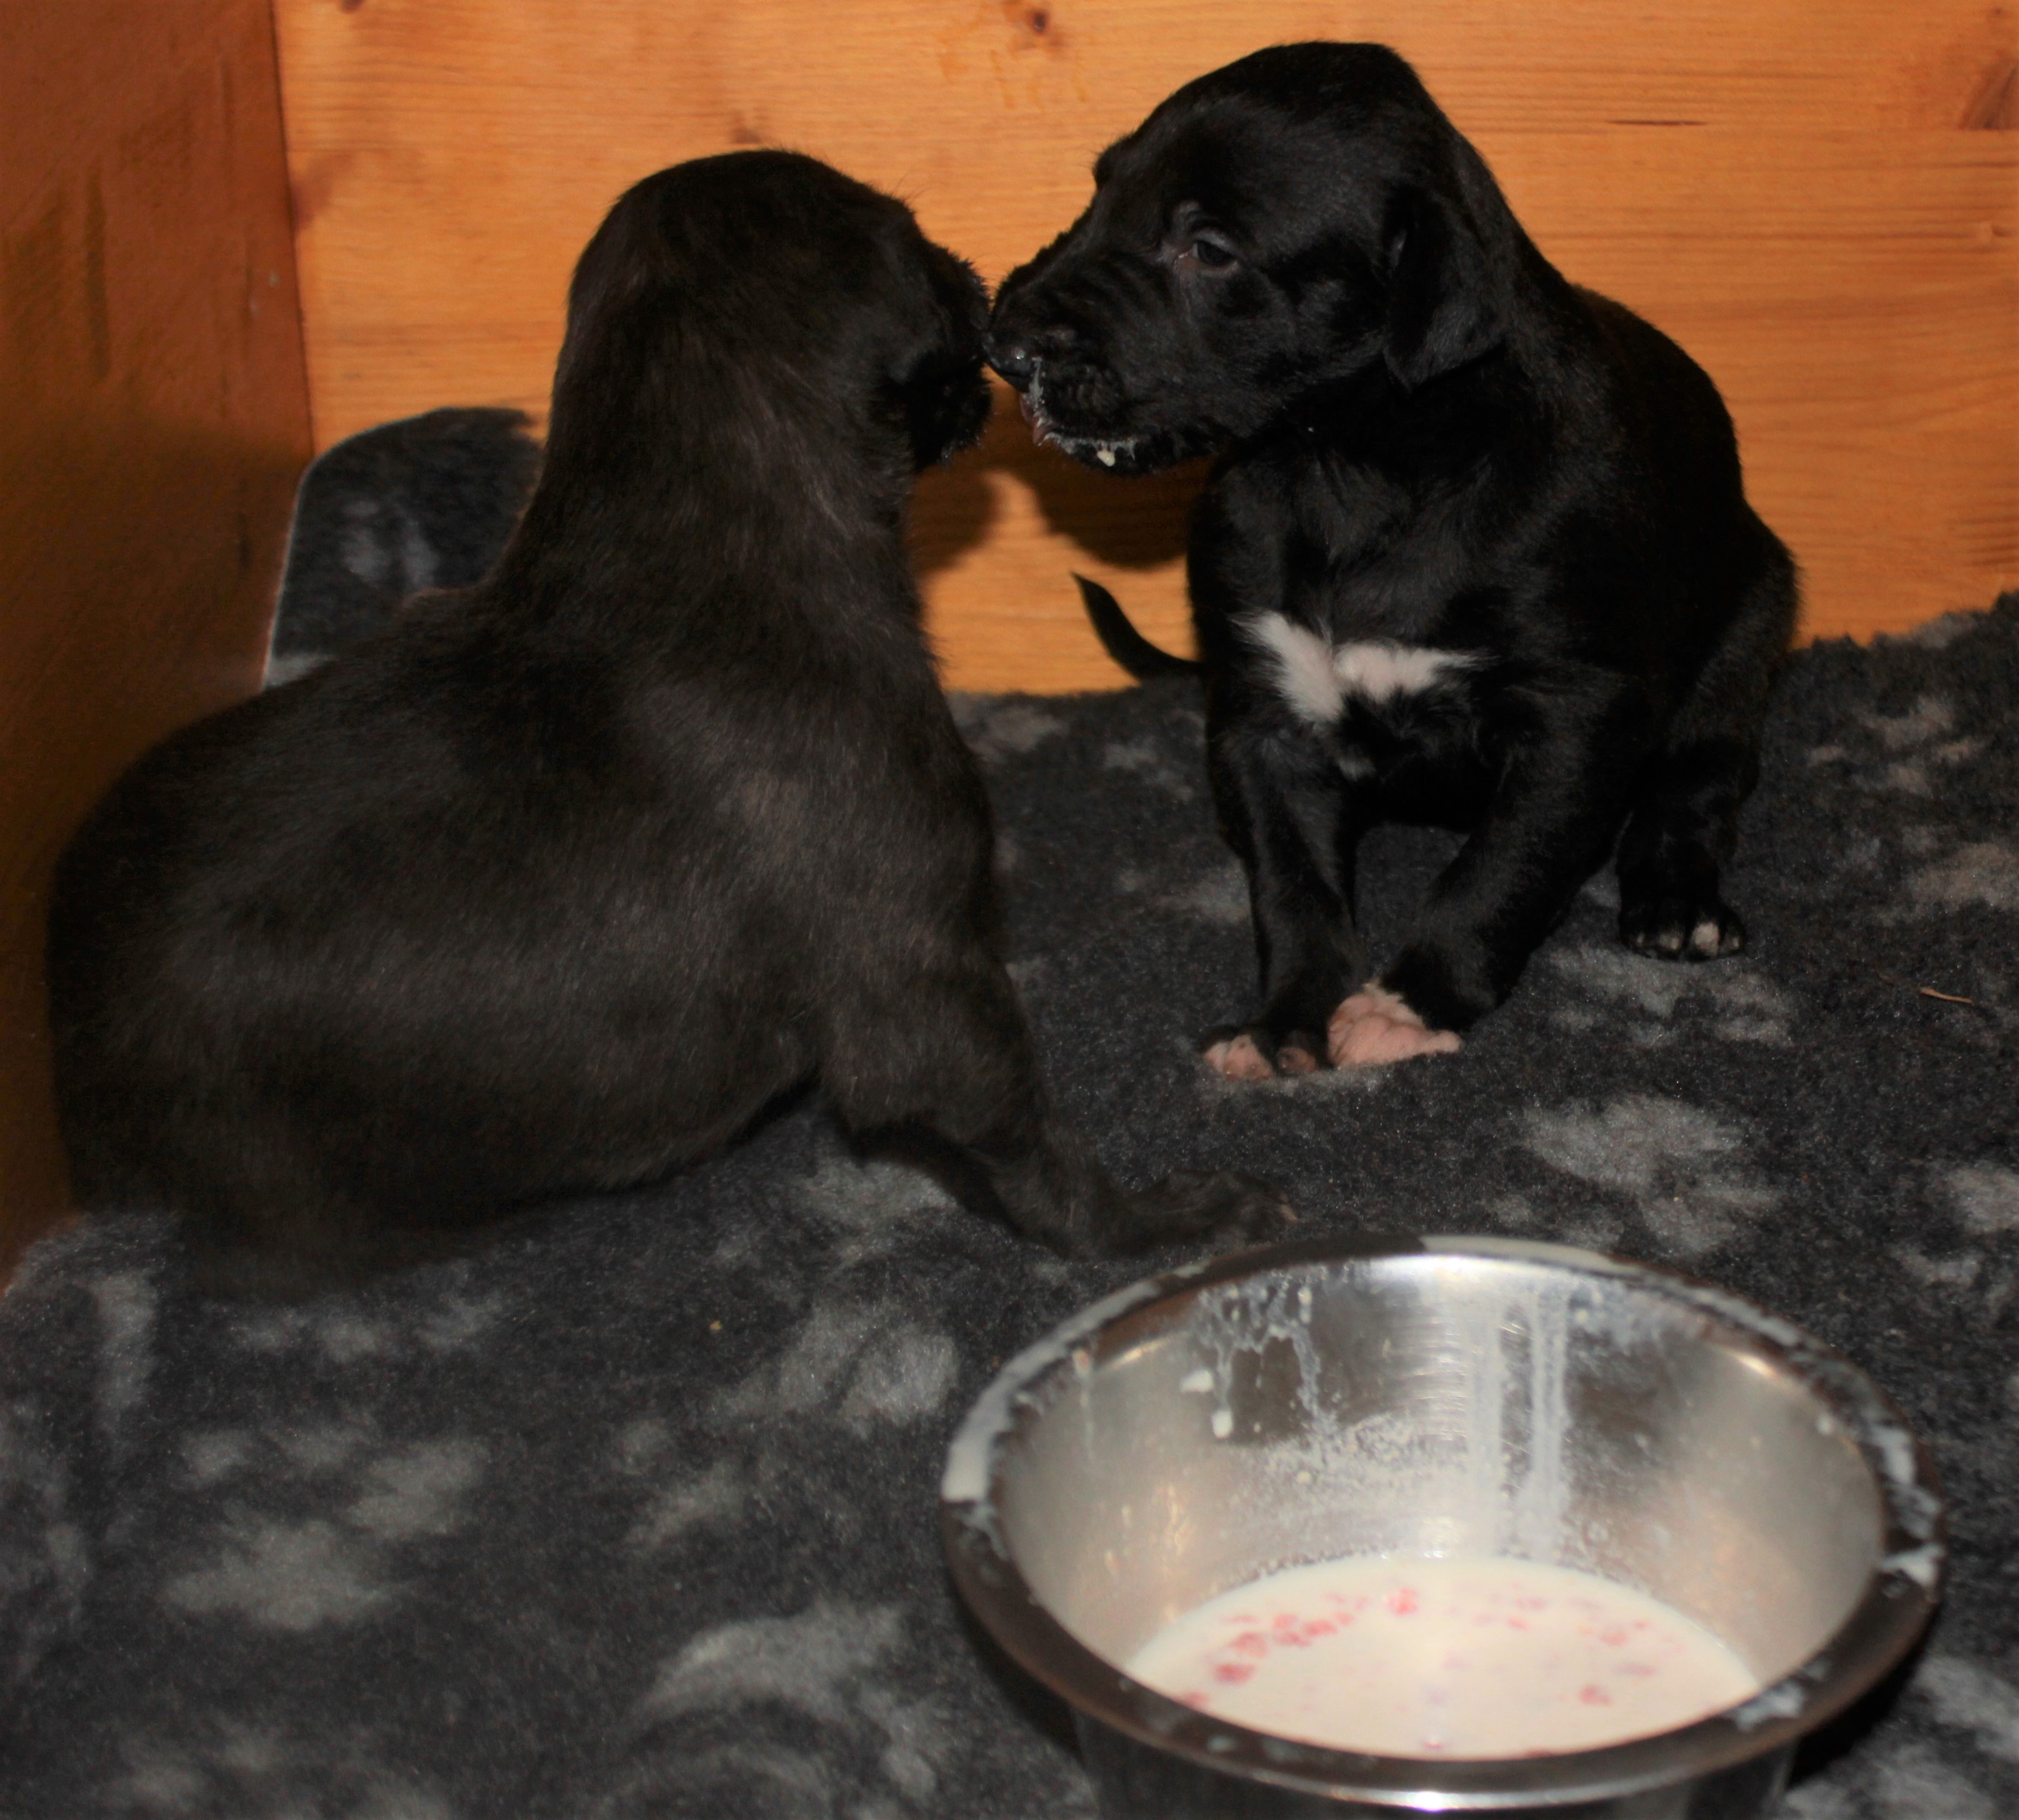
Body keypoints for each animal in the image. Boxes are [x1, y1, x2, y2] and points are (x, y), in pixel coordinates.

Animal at [47, 151, 1285, 1295]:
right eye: (921, 245)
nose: (992, 287)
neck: (679, 515)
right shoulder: (923, 983)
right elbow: (1027, 1144)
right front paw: (1162, 1224)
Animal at [988, 43, 1797, 1078]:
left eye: (1209, 248)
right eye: (1101, 191)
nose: (1002, 344)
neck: (1353, 468)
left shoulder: (1578, 714)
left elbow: (1501, 866)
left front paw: (1410, 1003)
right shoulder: (1262, 714)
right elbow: (1293, 883)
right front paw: (1287, 1020)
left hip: (1752, 621)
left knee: (1701, 776)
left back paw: (1678, 904)